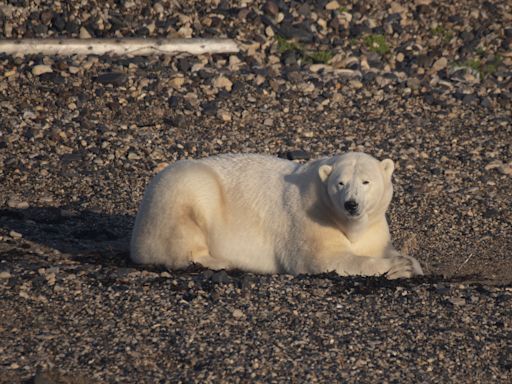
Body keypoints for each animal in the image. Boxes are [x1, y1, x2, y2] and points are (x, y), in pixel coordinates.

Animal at [131, 153, 424, 280]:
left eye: (366, 181)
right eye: (340, 183)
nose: (351, 205)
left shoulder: (374, 227)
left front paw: (409, 263)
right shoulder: (311, 219)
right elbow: (323, 259)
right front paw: (397, 267)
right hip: (181, 189)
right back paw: (221, 261)